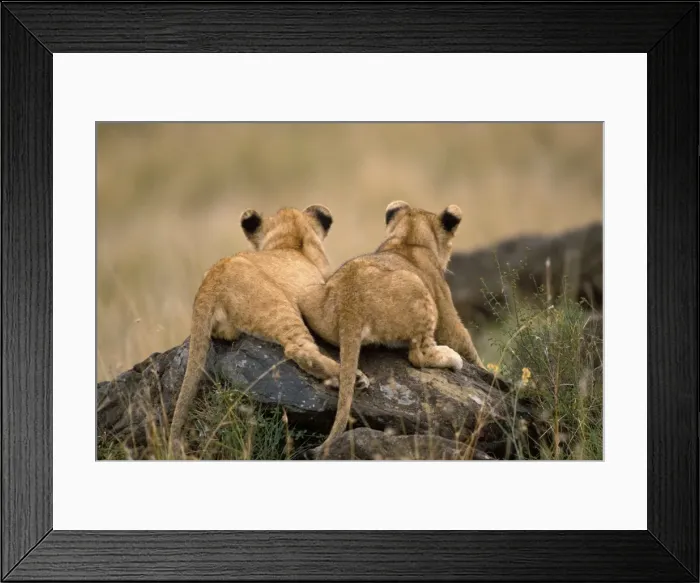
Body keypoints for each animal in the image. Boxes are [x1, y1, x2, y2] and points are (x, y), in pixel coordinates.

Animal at [299, 201, 485, 452]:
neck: (408, 238)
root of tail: (349, 305)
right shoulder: (444, 305)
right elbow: (462, 340)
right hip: (417, 286)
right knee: (417, 355)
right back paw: (450, 358)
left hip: (309, 293)